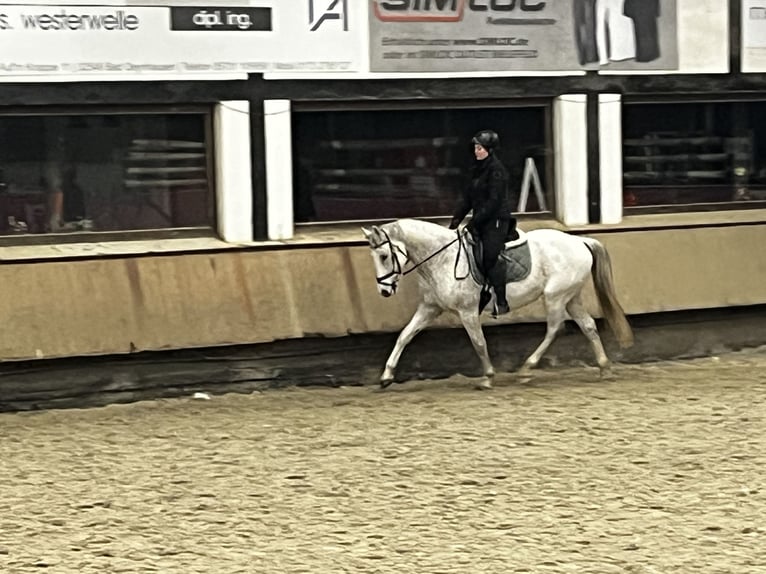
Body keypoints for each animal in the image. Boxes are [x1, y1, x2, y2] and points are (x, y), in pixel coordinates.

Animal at [364, 219, 636, 392]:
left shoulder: (467, 311)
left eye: (384, 256)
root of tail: (580, 242)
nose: (384, 291)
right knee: (588, 325)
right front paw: (386, 377)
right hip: (571, 297)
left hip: (555, 296)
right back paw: (604, 368)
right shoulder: (430, 308)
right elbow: (404, 336)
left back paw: (527, 369)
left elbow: (479, 342)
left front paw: (487, 377)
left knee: (555, 329)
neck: (443, 258)